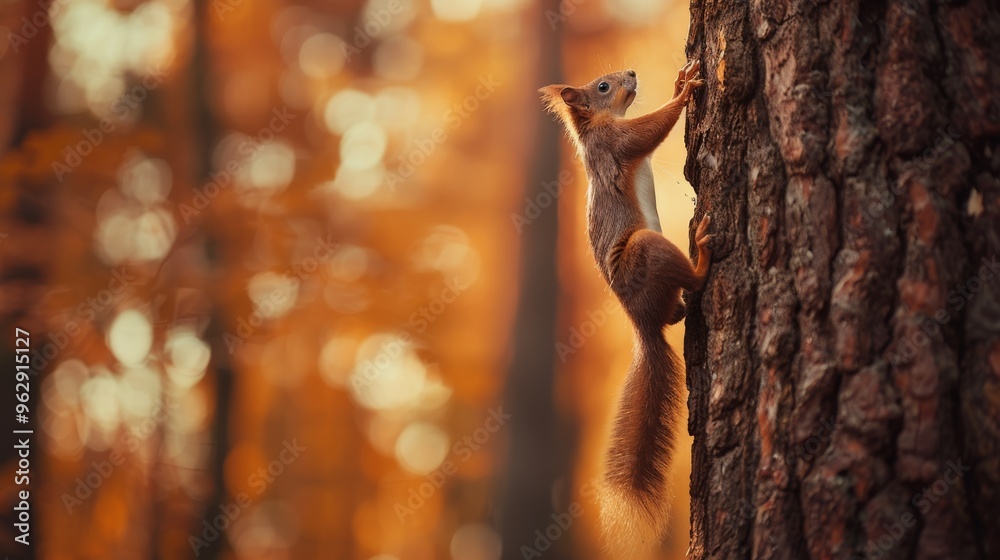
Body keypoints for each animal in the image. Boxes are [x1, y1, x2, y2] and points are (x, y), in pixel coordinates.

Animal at [539, 61, 711, 554]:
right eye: (602, 86)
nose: (631, 72)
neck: (597, 123)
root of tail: (642, 323)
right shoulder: (614, 144)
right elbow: (649, 131)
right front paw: (684, 94)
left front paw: (680, 80)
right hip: (647, 250)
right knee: (695, 281)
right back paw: (703, 250)